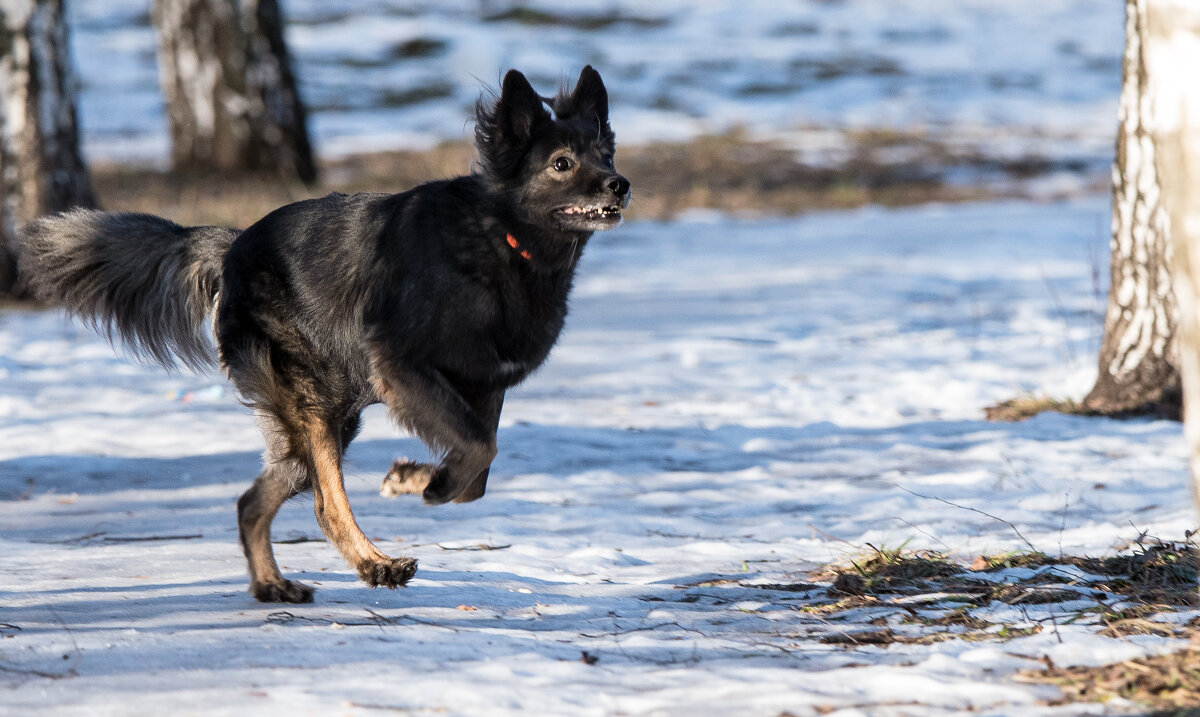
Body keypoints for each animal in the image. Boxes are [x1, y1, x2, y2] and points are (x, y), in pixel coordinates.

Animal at [16, 68, 628, 606]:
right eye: (562, 163)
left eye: (607, 154)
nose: (621, 185)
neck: (501, 240)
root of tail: (234, 244)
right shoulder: (404, 366)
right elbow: (479, 448)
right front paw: (424, 483)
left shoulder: (483, 385)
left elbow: (478, 466)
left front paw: (423, 477)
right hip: (317, 406)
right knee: (325, 505)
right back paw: (376, 566)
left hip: (324, 419)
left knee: (251, 502)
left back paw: (274, 585)